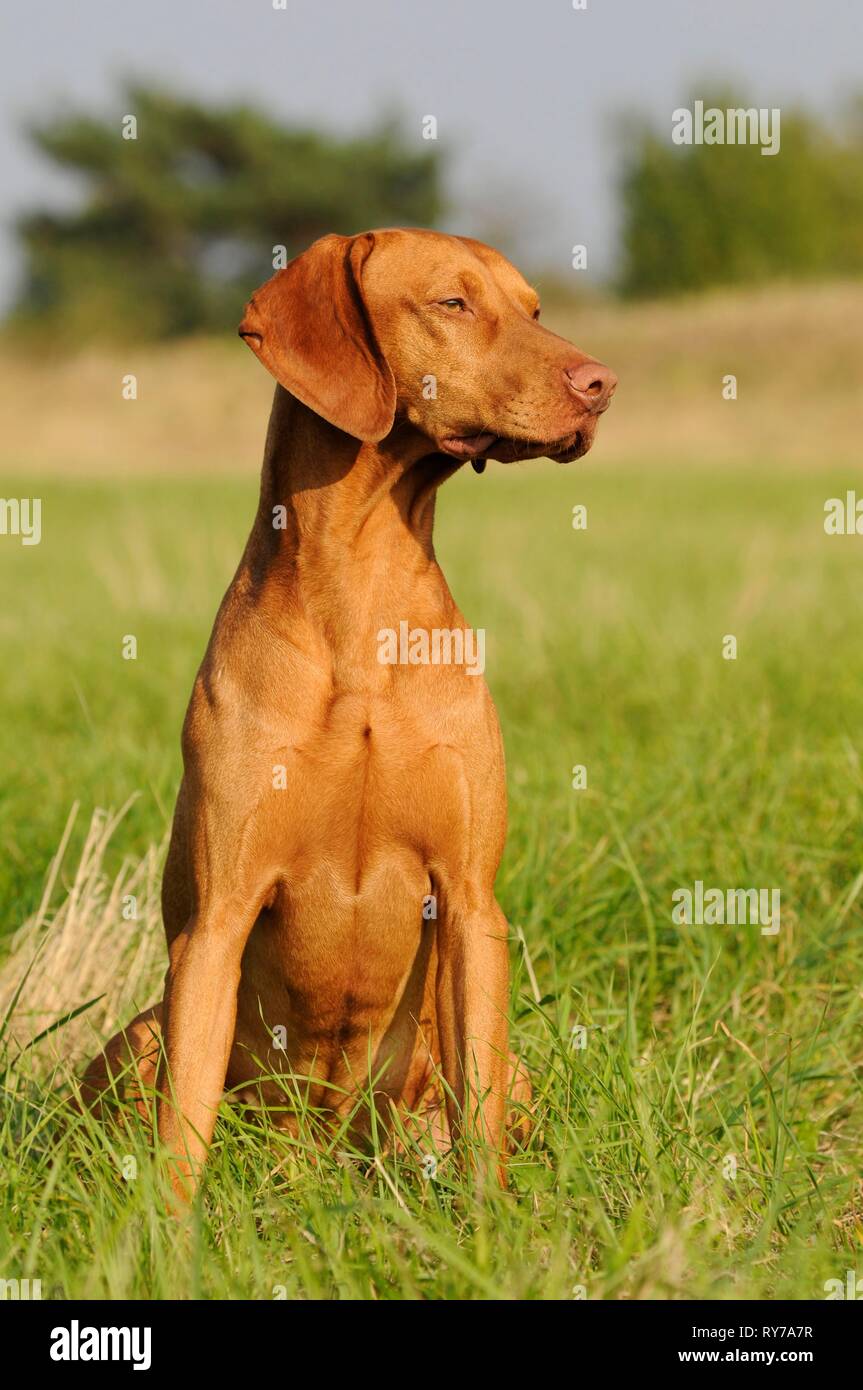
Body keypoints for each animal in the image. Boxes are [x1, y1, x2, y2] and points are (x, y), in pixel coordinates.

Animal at [80, 227, 617, 1195]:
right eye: (453, 303)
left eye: (533, 310)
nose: (602, 383)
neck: (364, 602)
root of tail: (318, 1158)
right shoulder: (215, 920)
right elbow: (181, 1135)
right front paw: (164, 1230)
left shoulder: (472, 903)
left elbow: (479, 1123)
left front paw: (490, 1224)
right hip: (140, 1037)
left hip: (494, 1075)